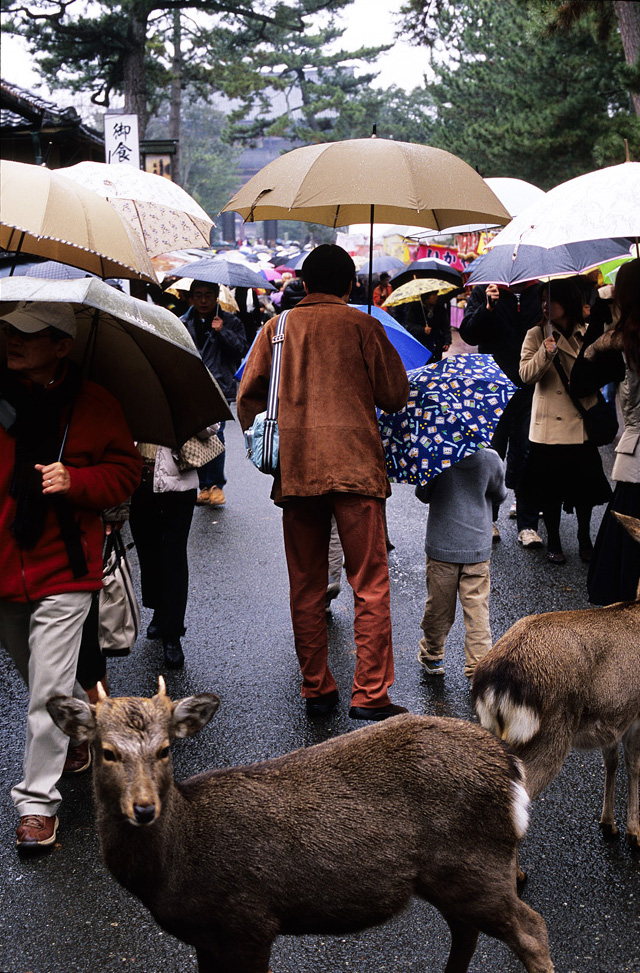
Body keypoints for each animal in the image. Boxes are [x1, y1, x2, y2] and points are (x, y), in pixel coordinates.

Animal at [47, 676, 556, 972]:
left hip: (476, 864)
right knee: (466, 933)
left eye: (165, 749)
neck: (178, 865)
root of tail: (510, 767)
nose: (143, 808)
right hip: (449, 875)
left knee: (532, 929)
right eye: (107, 751)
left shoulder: (250, 920)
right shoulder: (206, 938)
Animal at [470, 512, 640, 876]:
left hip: (493, 729)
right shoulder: (636, 713)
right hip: (549, 733)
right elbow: (634, 764)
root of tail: (496, 681)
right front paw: (635, 833)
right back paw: (517, 875)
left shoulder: (612, 714)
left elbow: (612, 761)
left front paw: (608, 824)